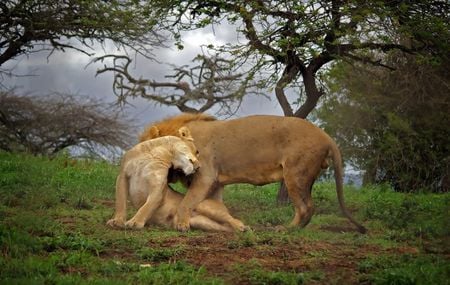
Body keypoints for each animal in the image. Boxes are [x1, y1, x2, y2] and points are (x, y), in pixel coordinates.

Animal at [106, 126, 246, 231]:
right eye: (197, 151)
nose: (198, 167)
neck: (157, 154)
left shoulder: (158, 186)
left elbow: (147, 206)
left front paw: (135, 222)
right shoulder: (122, 176)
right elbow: (120, 202)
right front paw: (117, 221)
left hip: (204, 206)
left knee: (232, 219)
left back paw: (242, 227)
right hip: (202, 223)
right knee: (224, 227)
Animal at [141, 112, 366, 232]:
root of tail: (326, 136)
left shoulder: (205, 176)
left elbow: (186, 202)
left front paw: (181, 225)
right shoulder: (216, 183)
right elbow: (215, 205)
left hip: (295, 174)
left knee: (305, 207)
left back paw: (286, 229)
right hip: (304, 176)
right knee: (307, 207)